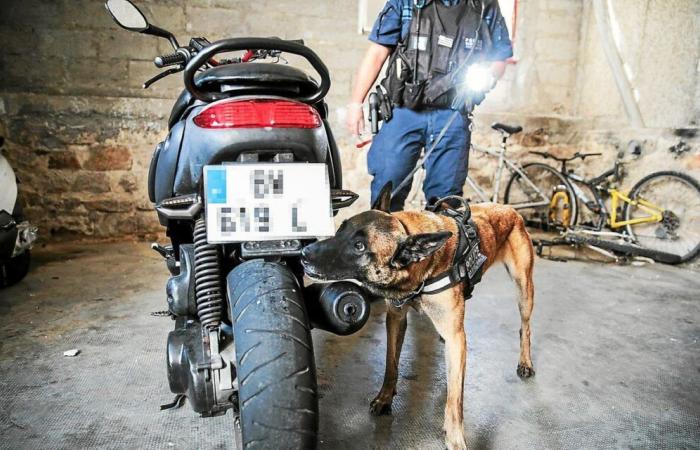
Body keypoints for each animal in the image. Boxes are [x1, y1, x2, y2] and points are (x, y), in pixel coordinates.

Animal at [300, 183, 536, 450]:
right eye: (340, 229)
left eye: (359, 247)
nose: (303, 252)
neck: (422, 267)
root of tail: (508, 208)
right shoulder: (395, 319)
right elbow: (391, 365)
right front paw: (385, 398)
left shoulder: (457, 339)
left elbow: (455, 399)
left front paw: (455, 436)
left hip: (524, 289)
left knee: (525, 327)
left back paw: (525, 362)